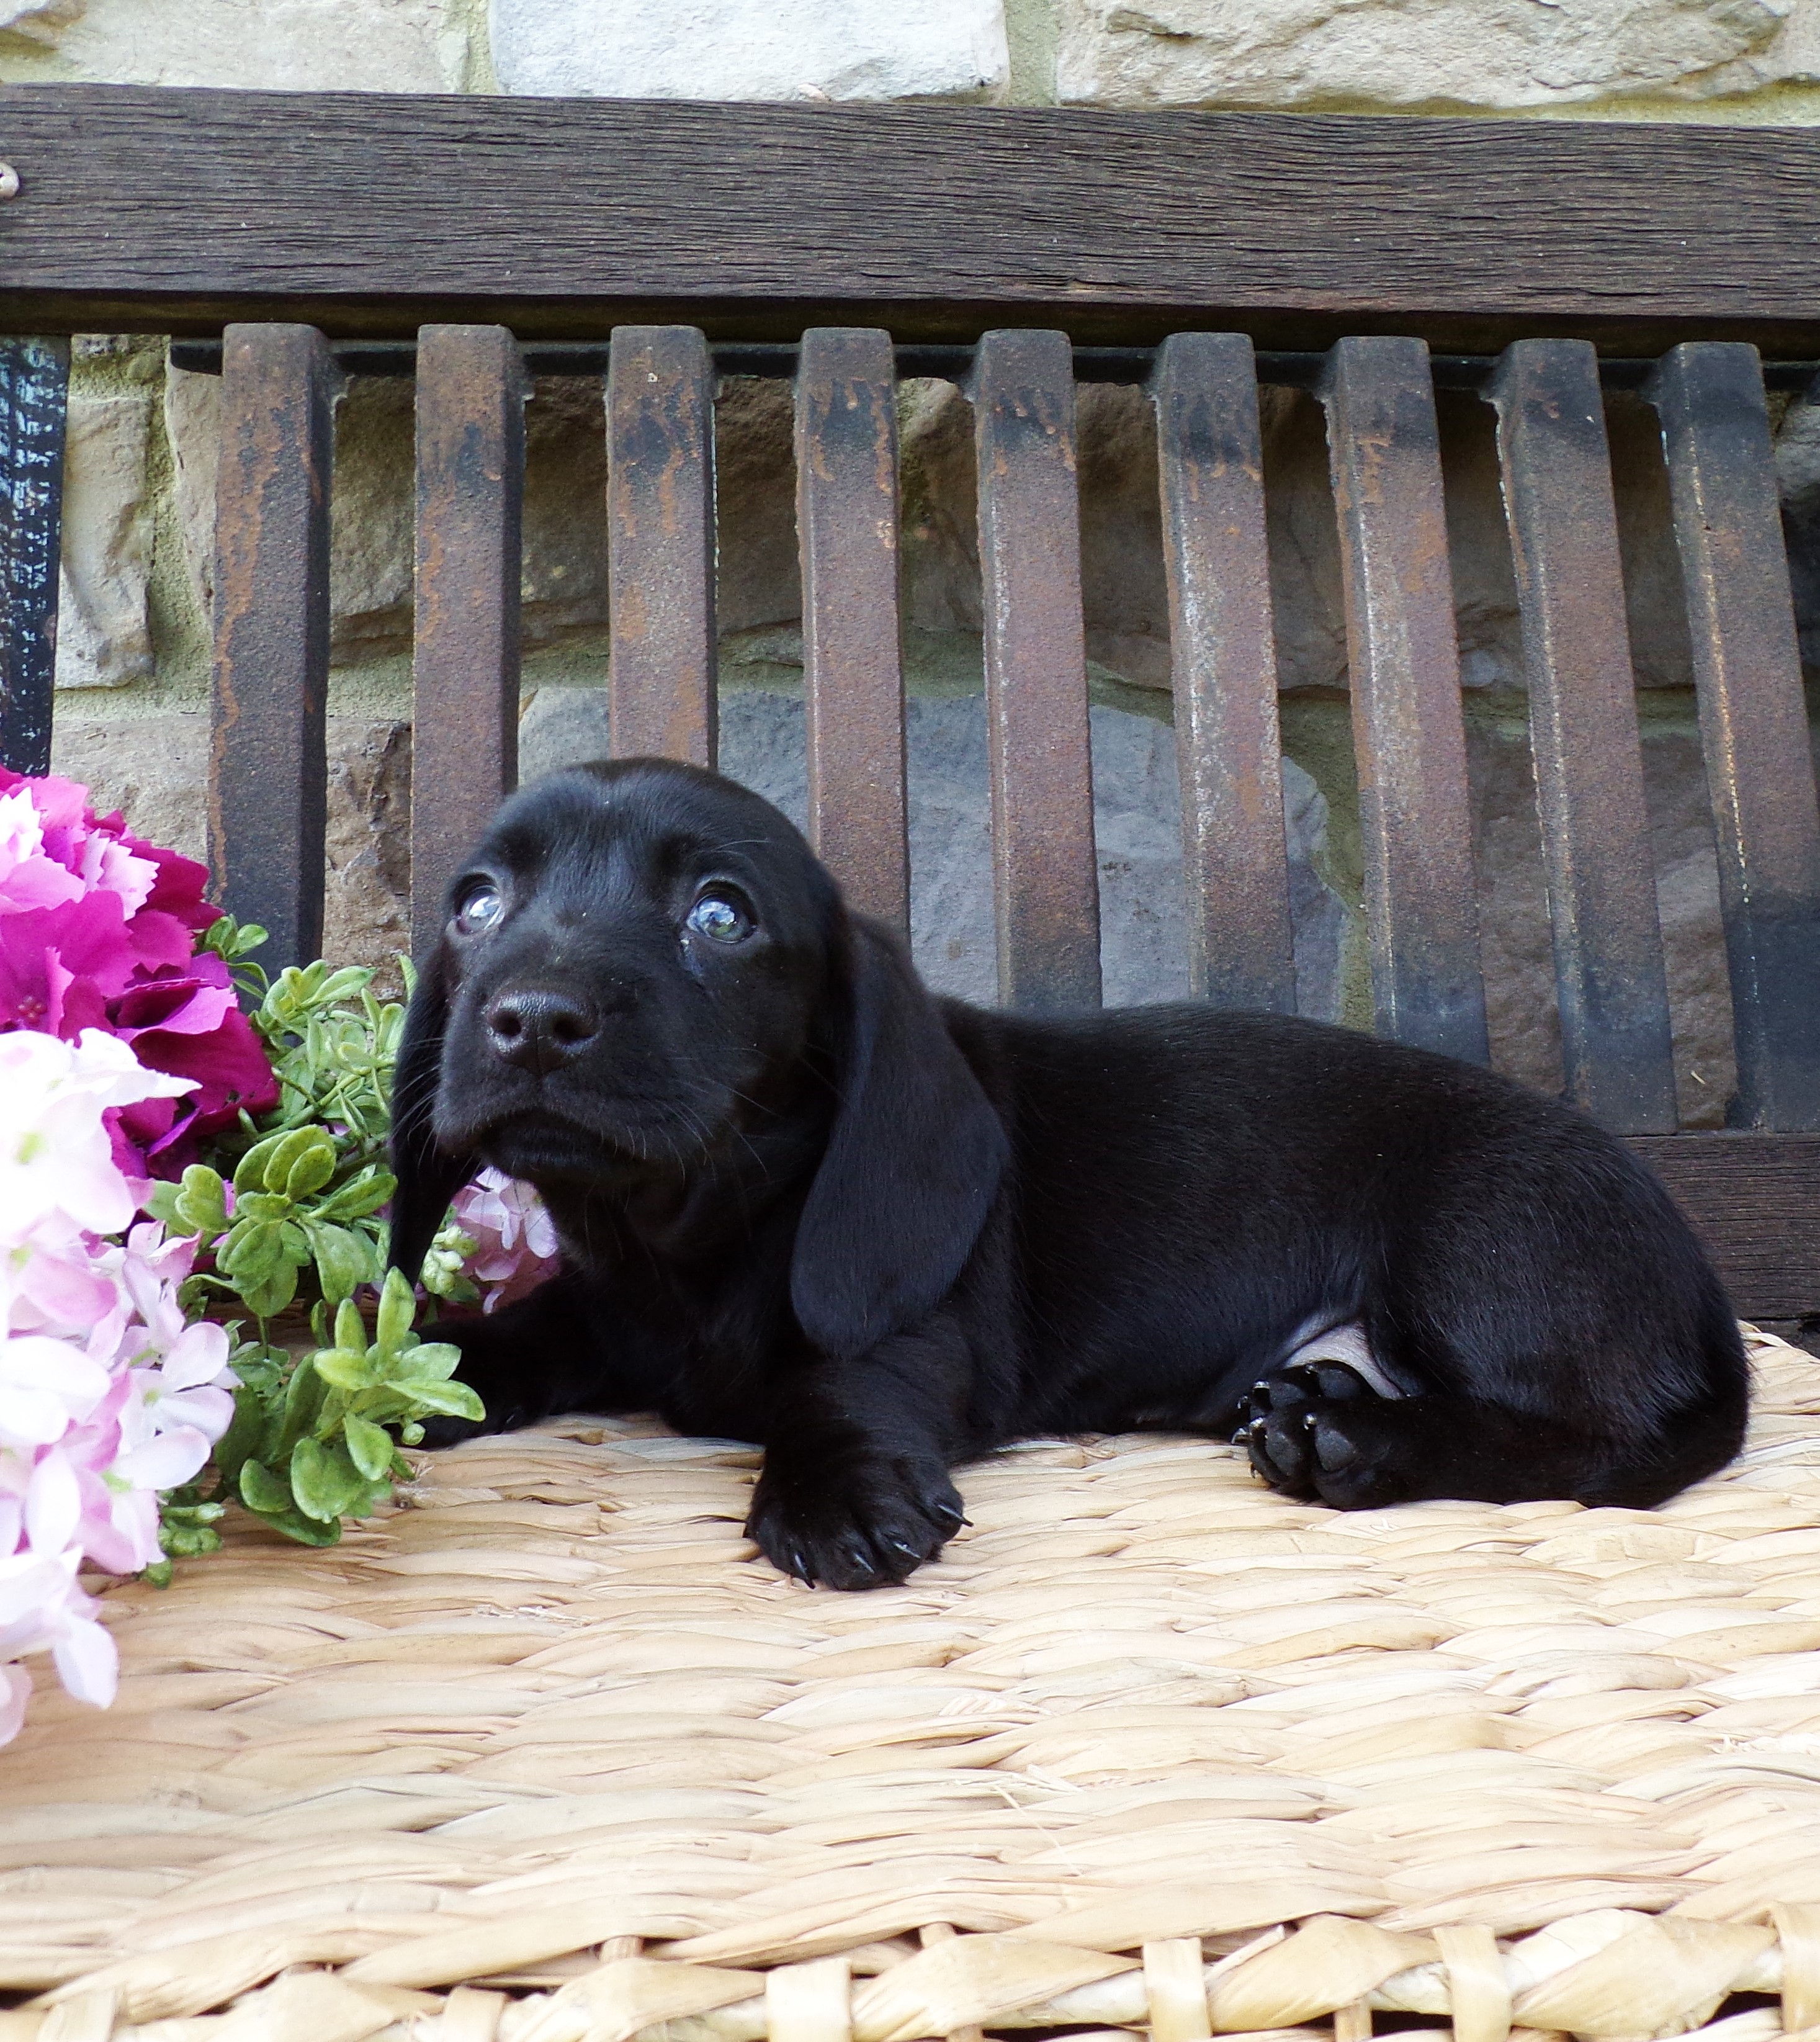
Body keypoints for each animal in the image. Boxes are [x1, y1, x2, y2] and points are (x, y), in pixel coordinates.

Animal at [394, 759, 1748, 1585]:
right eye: (476, 902)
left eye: (720, 917)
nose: (529, 1021)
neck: (683, 1237)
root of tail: (1694, 1278)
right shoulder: (606, 1313)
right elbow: (523, 1331)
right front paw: (424, 1369)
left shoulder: (925, 1336)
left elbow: (839, 1382)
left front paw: (836, 1490)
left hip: (1480, 1233)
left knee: (1586, 1443)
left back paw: (1348, 1438)